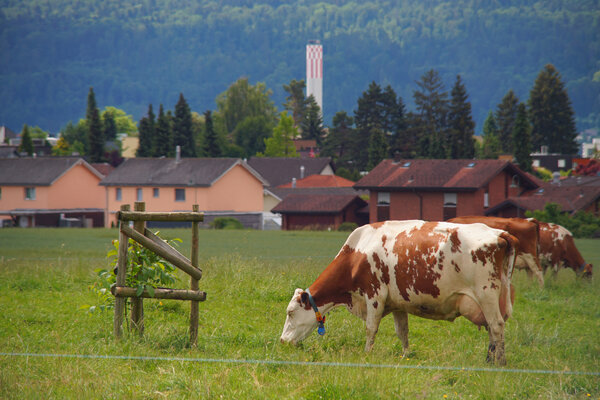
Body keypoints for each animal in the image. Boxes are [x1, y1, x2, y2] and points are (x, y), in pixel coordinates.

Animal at [278, 222, 516, 366]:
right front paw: (406, 356)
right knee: (492, 329)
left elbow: (370, 328)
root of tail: (499, 233)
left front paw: (367, 354)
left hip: (486, 294)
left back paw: (499, 363)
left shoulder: (374, 295)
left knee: (496, 326)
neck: (357, 252)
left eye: (290, 313)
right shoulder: (397, 303)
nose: (282, 341)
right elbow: (402, 332)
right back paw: (489, 360)